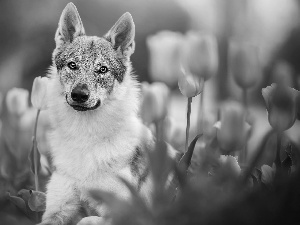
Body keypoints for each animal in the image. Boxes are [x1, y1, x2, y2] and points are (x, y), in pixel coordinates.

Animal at [38, 2, 155, 225]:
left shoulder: (126, 212)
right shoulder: (57, 208)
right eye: (72, 65)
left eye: (102, 70)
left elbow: (86, 220)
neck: (85, 137)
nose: (79, 95)